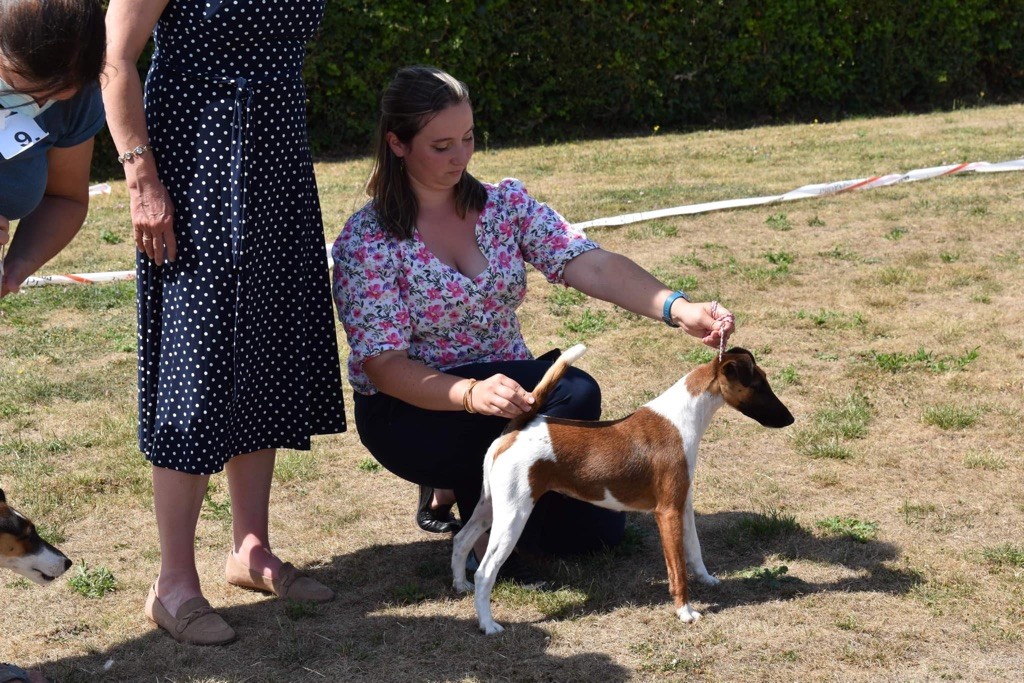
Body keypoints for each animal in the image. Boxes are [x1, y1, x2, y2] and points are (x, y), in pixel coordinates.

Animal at [452, 348, 794, 634]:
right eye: (759, 386)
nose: (790, 418)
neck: (684, 416)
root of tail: (520, 424)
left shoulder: (683, 505)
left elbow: (695, 551)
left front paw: (707, 579)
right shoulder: (667, 512)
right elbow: (677, 569)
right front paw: (685, 611)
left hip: (489, 506)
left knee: (461, 540)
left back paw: (460, 584)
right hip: (514, 514)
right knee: (486, 571)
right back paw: (488, 624)